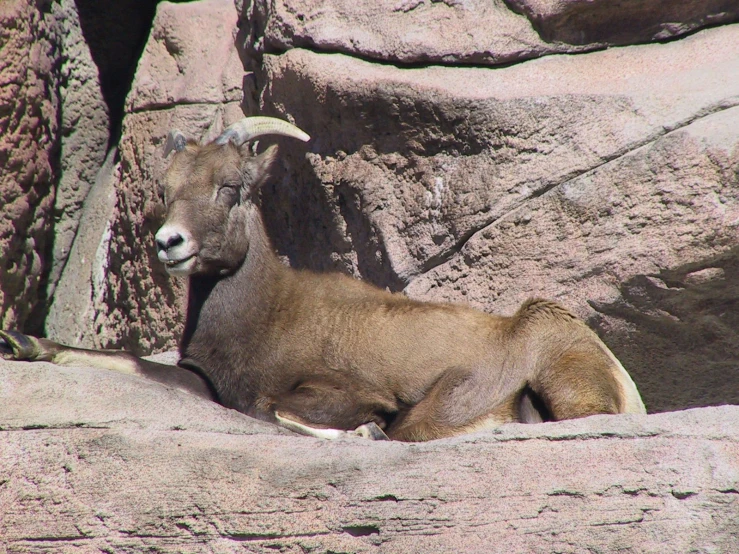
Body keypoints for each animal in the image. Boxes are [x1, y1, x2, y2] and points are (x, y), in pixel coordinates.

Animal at [0, 116, 648, 440]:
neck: (265, 317)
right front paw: (21, 343)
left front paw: (363, 435)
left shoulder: (347, 394)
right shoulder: (204, 381)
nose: (170, 243)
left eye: (231, 187)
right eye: (167, 189)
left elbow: (276, 413)